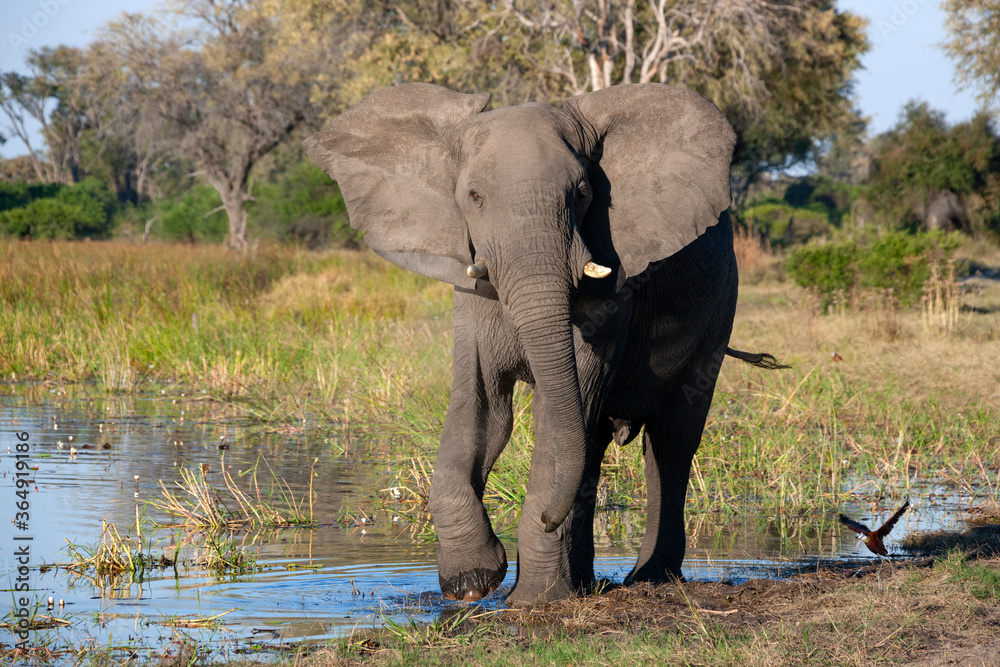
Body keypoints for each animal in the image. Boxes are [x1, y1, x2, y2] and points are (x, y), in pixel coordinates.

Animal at [305, 82, 782, 605]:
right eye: (473, 196)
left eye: (582, 194)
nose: (547, 516)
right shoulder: (471, 292)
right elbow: (481, 412)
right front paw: (472, 583)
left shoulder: (613, 292)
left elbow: (558, 418)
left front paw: (531, 601)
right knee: (594, 448)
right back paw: (586, 583)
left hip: (720, 308)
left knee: (672, 441)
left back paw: (648, 580)